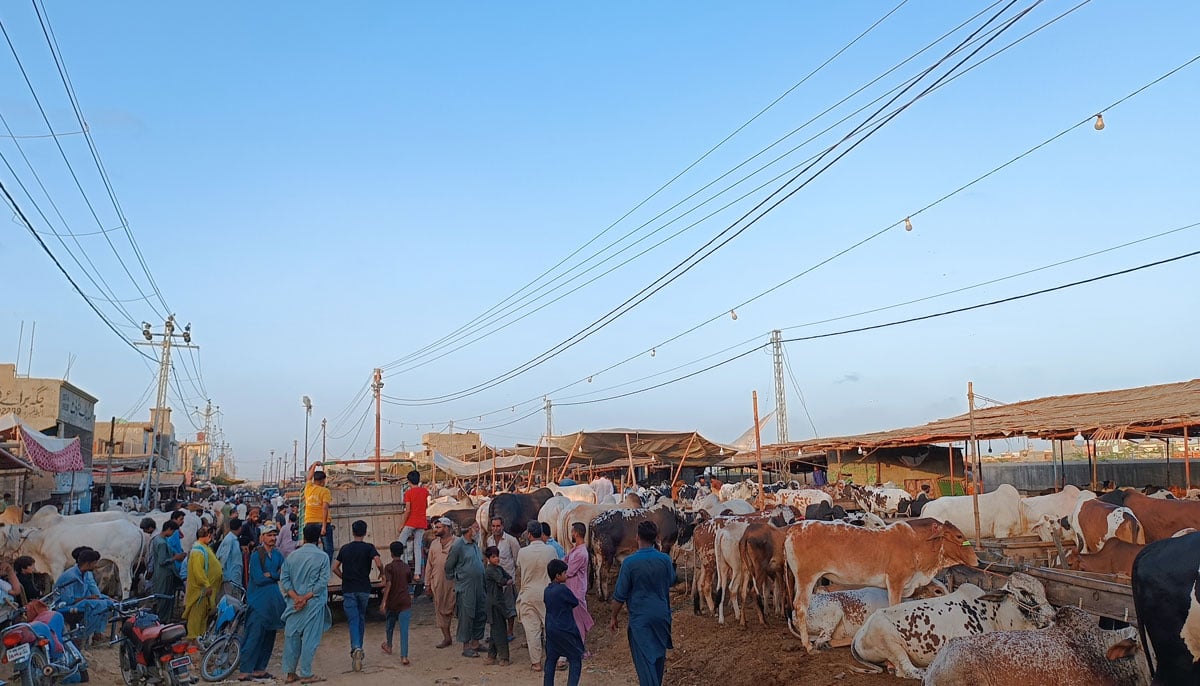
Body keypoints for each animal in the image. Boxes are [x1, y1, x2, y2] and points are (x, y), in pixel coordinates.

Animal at [849, 573, 1056, 681]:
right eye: (1024, 592)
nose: (1052, 615)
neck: (995, 614)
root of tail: (859, 634)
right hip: (891, 643)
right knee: (906, 670)